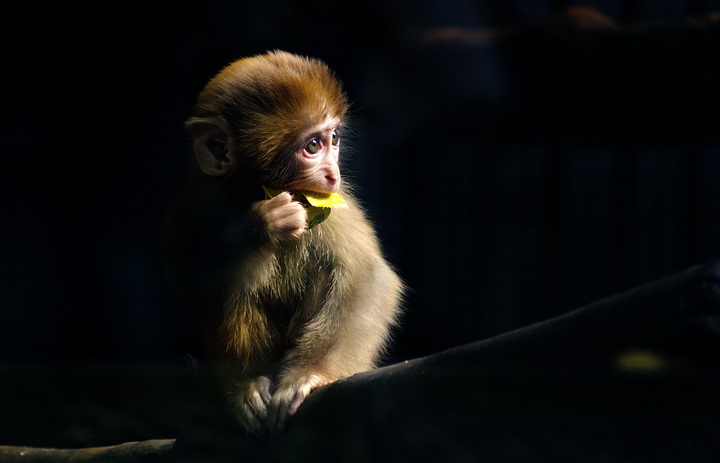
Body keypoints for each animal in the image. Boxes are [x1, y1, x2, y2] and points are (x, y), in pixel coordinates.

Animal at [164, 50, 408, 436]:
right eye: (313, 145)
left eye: (334, 138)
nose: (333, 173)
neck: (253, 187)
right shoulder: (199, 198)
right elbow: (183, 274)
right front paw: (260, 226)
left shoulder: (330, 203)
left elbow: (365, 275)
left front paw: (309, 374)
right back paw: (247, 385)